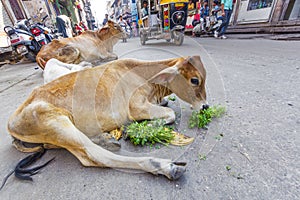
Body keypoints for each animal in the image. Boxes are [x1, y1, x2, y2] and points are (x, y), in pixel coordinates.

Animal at [8, 55, 207, 180]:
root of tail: (12, 121)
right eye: (194, 80)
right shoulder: (136, 107)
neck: (144, 76)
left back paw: (104, 138)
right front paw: (136, 130)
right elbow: (171, 114)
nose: (205, 106)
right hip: (57, 123)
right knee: (95, 156)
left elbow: (166, 106)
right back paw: (163, 166)